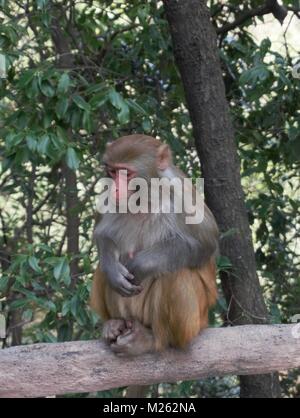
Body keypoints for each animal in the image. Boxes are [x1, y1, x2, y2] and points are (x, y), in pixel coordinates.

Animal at [90, 133, 219, 396]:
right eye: (112, 171)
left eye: (127, 173)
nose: (115, 188)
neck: (145, 197)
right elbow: (102, 234)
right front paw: (113, 267)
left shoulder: (180, 192)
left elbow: (205, 244)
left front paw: (142, 264)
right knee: (104, 269)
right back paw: (114, 323)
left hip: (194, 322)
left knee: (175, 273)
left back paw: (154, 341)